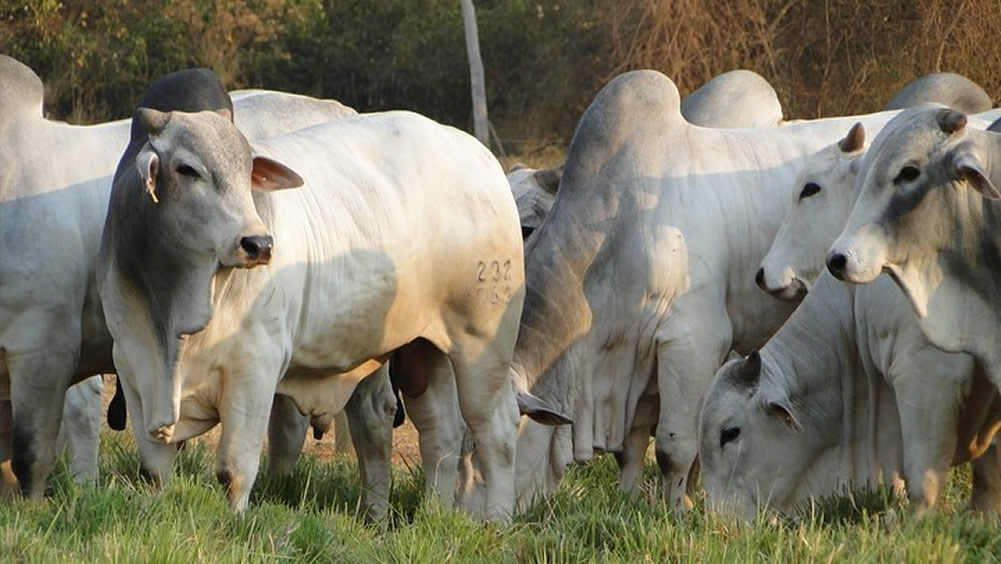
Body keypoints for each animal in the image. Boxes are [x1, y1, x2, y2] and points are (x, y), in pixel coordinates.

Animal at [460, 69, 908, 512]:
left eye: (489, 448)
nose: (467, 519)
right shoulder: (638, 358)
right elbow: (632, 446)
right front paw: (629, 502)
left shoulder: (693, 342)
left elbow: (673, 447)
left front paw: (678, 509)